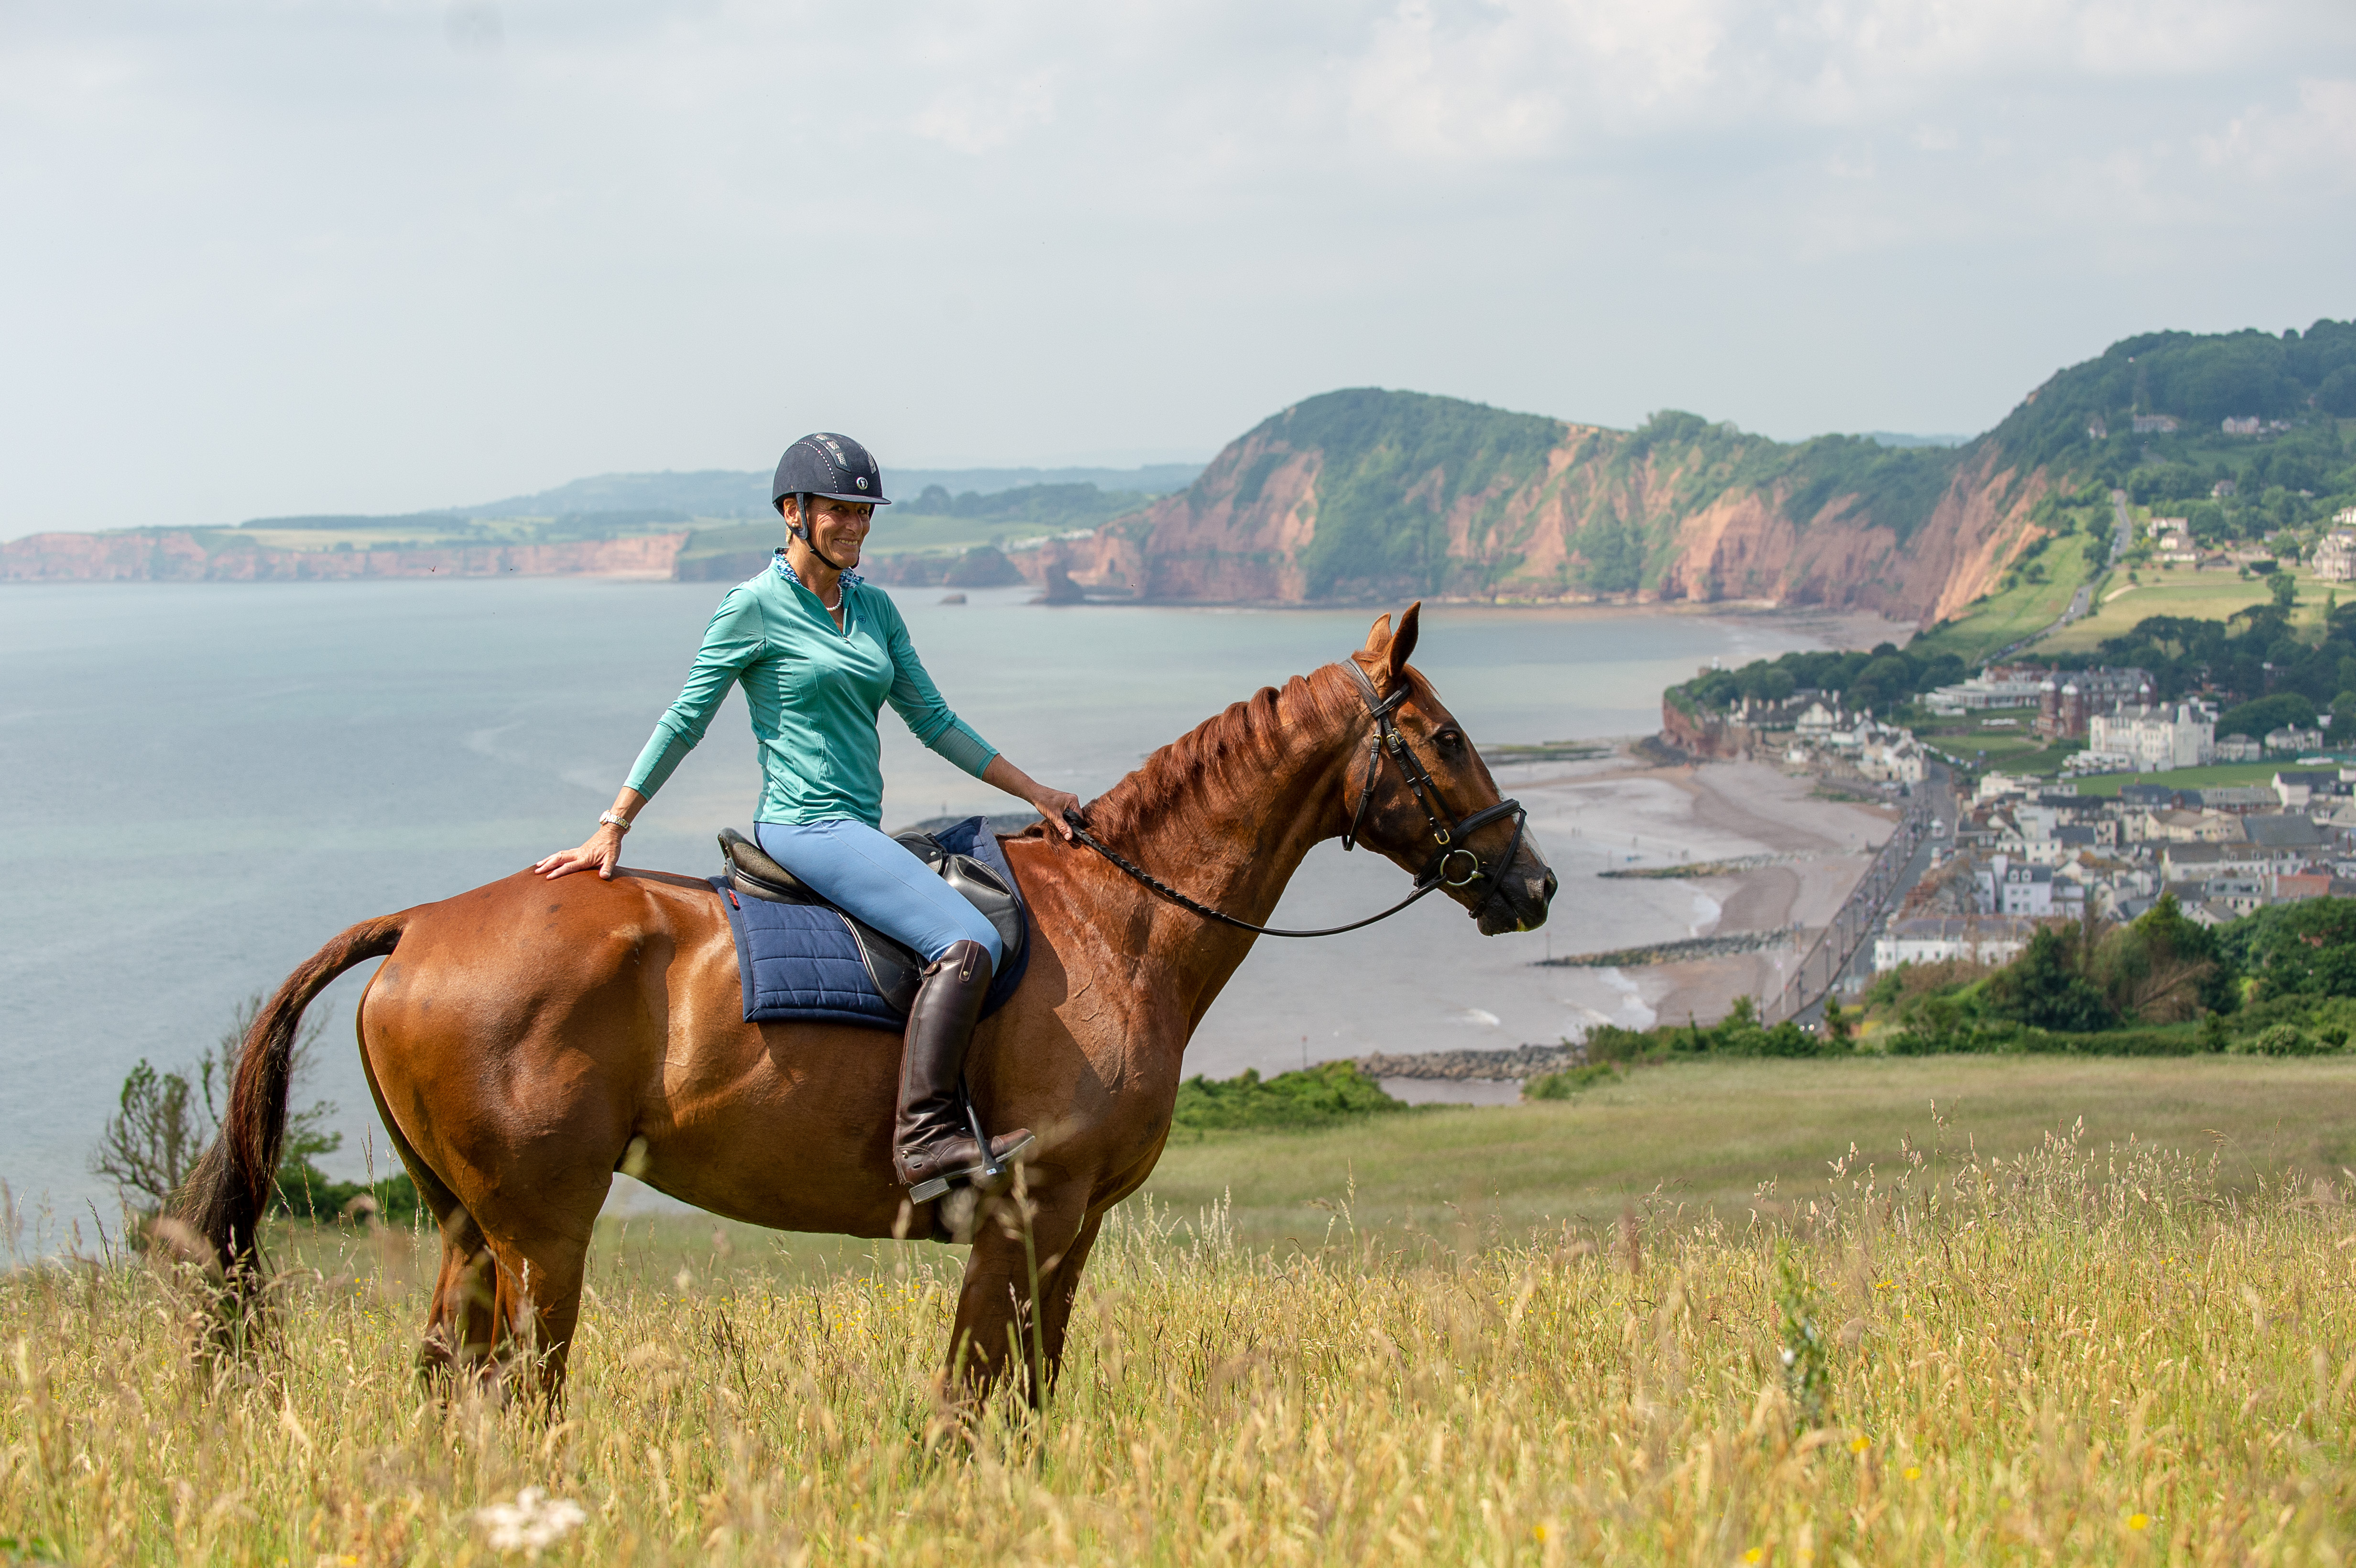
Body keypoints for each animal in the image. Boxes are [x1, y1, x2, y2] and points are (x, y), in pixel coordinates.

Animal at [179, 602, 1557, 1403]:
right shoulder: (1023, 1217)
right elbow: (971, 1402)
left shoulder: (1072, 1232)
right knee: (520, 1393)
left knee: (445, 1383)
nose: (1533, 882)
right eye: (1442, 739)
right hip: (540, 1233)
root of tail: (418, 924)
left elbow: (1027, 1397)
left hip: (471, 1229)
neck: (1120, 925)